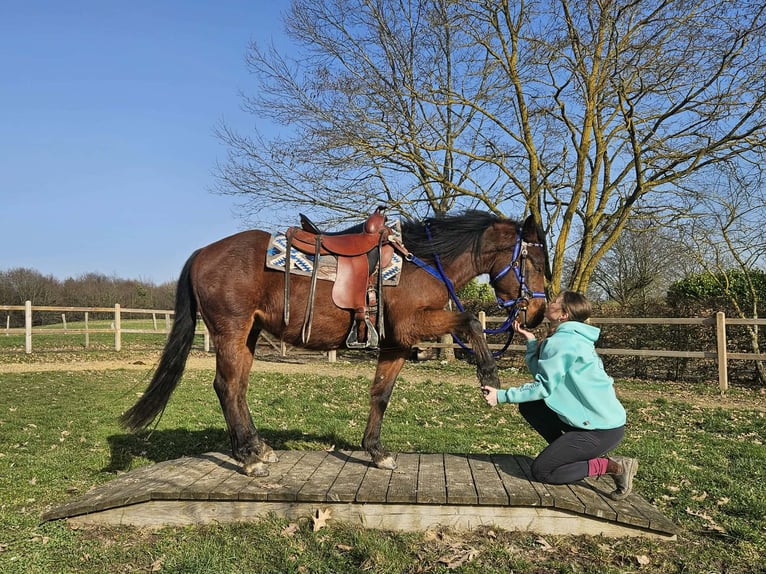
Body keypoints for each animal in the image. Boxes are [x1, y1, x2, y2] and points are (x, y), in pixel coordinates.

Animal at [120, 210, 548, 476]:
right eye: (534, 263)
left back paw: (258, 448)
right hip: (231, 332)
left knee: (238, 388)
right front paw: (488, 374)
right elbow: (470, 321)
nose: (539, 314)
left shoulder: (395, 343)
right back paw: (247, 459)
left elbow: (381, 394)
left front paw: (376, 451)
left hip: (248, 336)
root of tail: (201, 254)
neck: (422, 262)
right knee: (227, 387)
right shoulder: (412, 325)